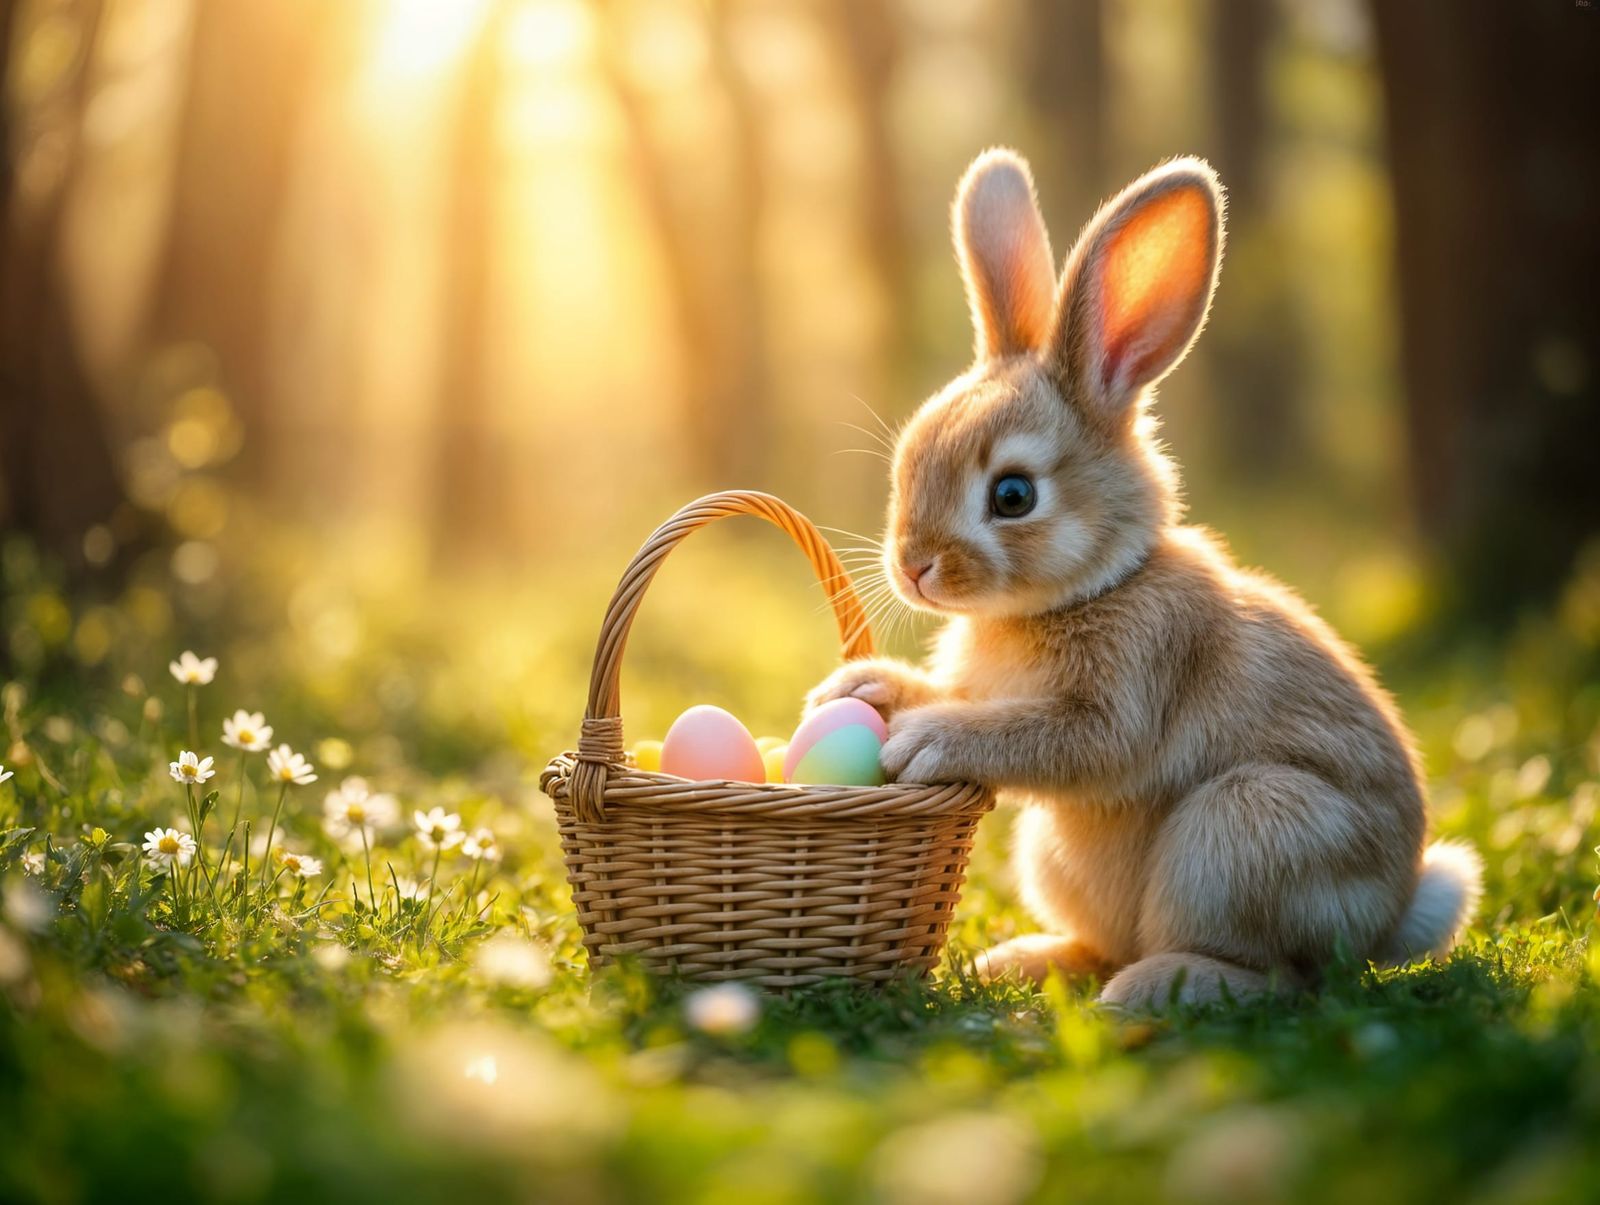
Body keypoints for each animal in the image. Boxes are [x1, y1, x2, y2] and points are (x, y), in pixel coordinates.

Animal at [807, 148, 1483, 1008]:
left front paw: (925, 740)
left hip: (1245, 826)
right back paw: (1026, 960)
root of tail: (1392, 917)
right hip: (1058, 855)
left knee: (1284, 974)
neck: (1092, 587)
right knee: (1109, 943)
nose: (914, 566)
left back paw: (1157, 986)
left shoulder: (1127, 692)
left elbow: (1061, 739)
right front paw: (862, 690)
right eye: (908, 461)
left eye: (1013, 495)